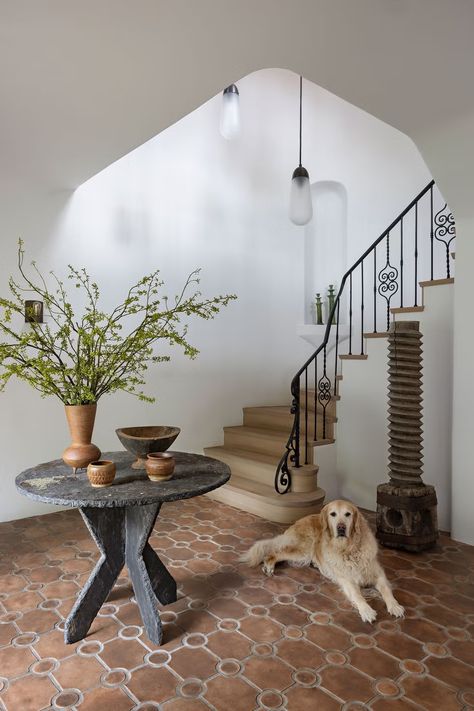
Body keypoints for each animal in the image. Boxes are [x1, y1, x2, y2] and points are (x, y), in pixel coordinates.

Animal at [244, 500, 404, 624]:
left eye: (348, 514)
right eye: (333, 514)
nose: (341, 528)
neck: (348, 548)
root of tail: (299, 520)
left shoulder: (378, 574)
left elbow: (386, 590)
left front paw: (395, 606)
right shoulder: (347, 580)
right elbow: (358, 595)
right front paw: (367, 610)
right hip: (303, 551)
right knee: (274, 552)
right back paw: (269, 565)